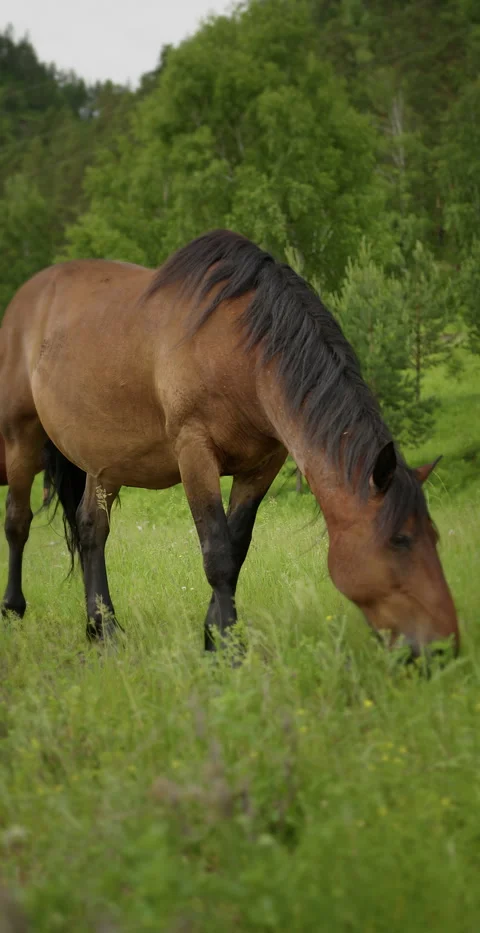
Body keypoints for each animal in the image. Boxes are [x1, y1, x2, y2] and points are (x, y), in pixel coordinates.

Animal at [0, 230, 459, 659]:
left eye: (434, 537)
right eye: (399, 540)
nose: (443, 647)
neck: (242, 355)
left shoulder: (262, 466)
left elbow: (236, 550)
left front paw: (215, 636)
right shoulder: (195, 455)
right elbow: (218, 554)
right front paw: (231, 652)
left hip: (104, 461)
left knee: (91, 529)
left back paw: (103, 629)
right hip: (22, 441)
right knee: (18, 522)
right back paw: (14, 609)